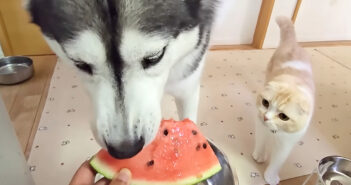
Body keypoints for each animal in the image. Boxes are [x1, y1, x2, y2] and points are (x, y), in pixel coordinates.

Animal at [253, 16, 316, 184]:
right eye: (265, 103)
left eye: (283, 116)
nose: (265, 117)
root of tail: (293, 43)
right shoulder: (260, 126)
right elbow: (261, 142)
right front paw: (259, 156)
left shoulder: (287, 142)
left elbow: (278, 161)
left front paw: (270, 177)